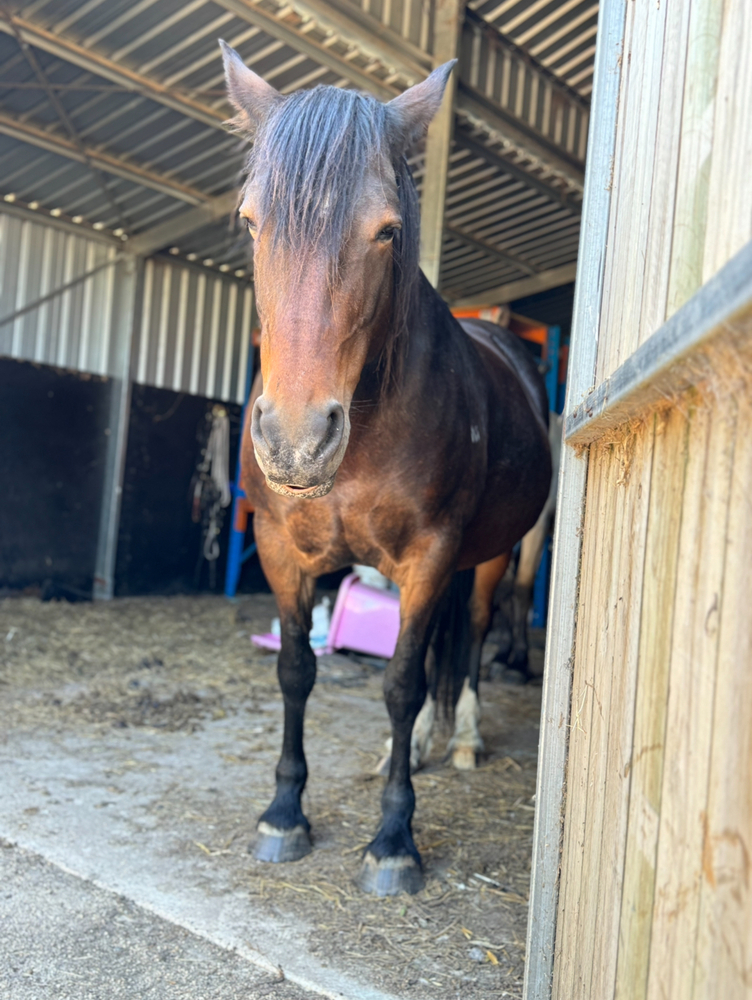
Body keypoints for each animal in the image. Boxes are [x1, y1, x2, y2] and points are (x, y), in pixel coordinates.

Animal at [221, 42, 551, 896]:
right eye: (250, 220)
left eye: (388, 231)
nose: (297, 440)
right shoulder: (281, 552)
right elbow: (297, 670)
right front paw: (284, 815)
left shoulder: (428, 557)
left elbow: (401, 682)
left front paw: (395, 841)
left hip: (490, 555)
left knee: (471, 636)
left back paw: (462, 738)